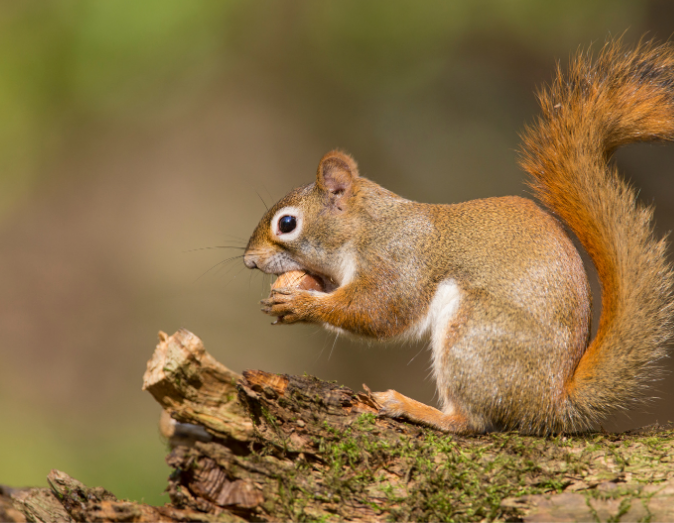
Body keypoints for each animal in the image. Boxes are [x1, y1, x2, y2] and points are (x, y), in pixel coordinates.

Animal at [244, 40, 674, 435]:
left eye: (287, 223)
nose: (249, 260)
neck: (367, 227)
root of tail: (551, 405)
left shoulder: (399, 260)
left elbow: (379, 312)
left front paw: (300, 305)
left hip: (472, 337)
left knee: (469, 422)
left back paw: (411, 407)